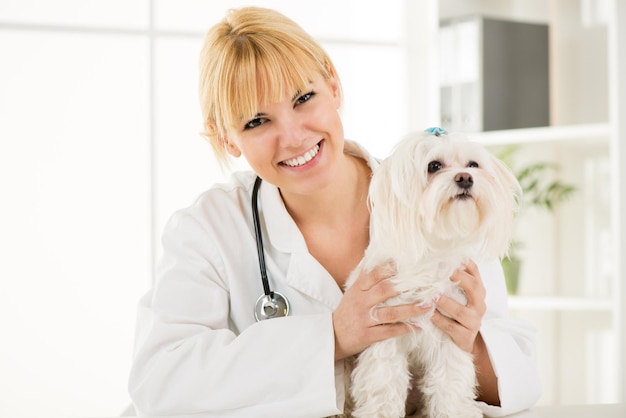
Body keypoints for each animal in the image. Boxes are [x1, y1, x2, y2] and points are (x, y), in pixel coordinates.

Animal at [344, 128, 520, 418]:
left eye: (473, 165)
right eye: (434, 166)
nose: (465, 178)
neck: (433, 253)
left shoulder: (451, 332)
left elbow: (449, 381)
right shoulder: (384, 332)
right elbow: (384, 382)